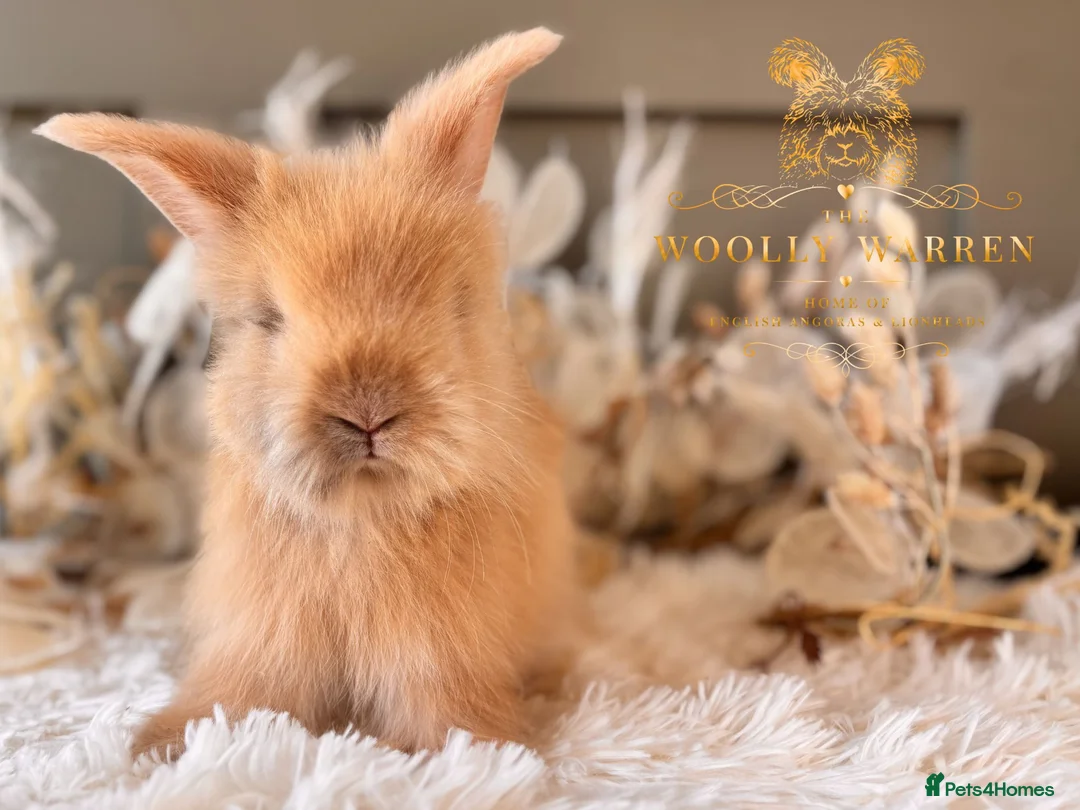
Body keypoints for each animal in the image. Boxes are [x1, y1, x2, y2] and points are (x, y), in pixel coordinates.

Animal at [36, 27, 579, 760]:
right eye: (270, 319)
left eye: (452, 305)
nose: (368, 411)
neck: (361, 514)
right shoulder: (264, 638)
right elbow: (240, 693)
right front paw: (165, 744)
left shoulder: (441, 653)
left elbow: (444, 707)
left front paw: (473, 751)